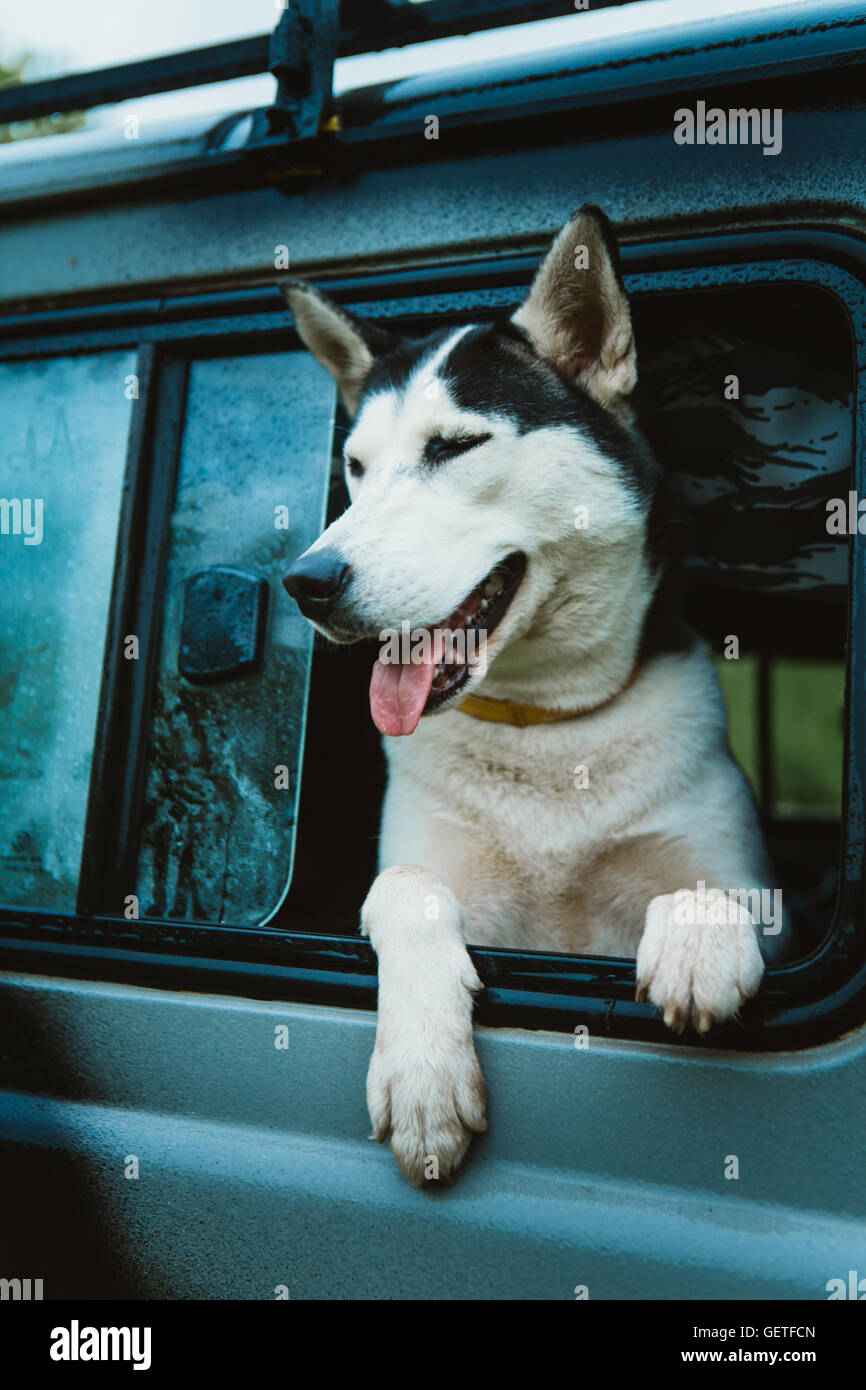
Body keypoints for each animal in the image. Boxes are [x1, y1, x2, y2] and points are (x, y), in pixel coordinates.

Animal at [283, 205, 778, 1184]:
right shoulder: (431, 870)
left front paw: (699, 929)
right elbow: (404, 886)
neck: (543, 724)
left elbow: (720, 886)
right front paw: (425, 1075)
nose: (307, 581)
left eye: (454, 447)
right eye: (356, 466)